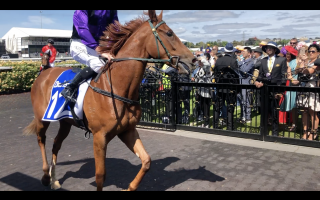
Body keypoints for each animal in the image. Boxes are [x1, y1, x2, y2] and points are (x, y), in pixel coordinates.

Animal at [22, 9, 195, 191]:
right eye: (169, 33)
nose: (193, 60)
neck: (119, 88)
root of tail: (45, 71)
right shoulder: (99, 137)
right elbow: (100, 175)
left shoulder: (127, 130)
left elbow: (146, 161)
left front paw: (130, 187)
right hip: (42, 119)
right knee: (41, 140)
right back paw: (45, 176)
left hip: (66, 122)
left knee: (56, 143)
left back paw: (54, 179)